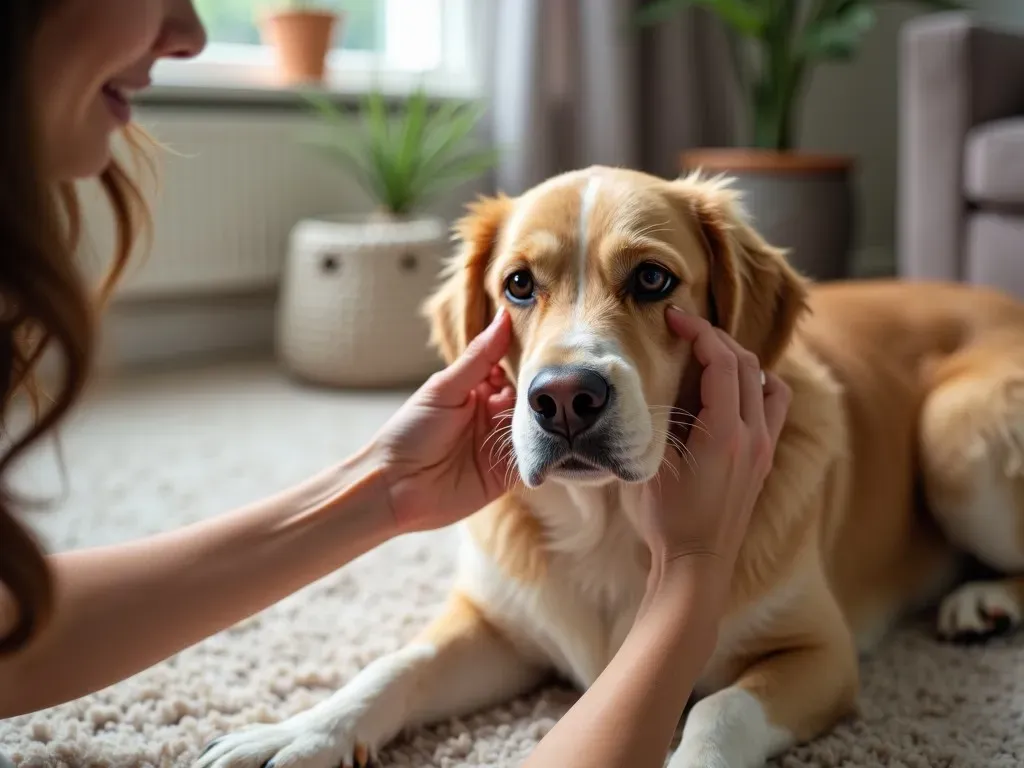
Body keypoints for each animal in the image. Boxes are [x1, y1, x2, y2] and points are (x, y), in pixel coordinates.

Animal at [195, 167, 1024, 768]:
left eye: (653, 280)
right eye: (518, 285)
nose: (564, 398)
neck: (607, 524)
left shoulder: (820, 654)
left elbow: (719, 710)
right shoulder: (497, 626)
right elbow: (394, 666)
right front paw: (299, 731)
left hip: (951, 434)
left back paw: (981, 600)